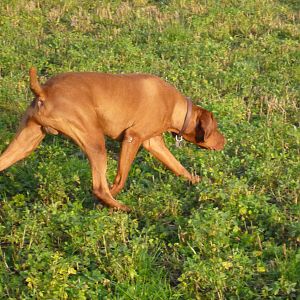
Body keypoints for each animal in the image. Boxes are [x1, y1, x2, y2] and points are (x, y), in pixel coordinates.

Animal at [0, 69, 225, 212]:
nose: (224, 141)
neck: (175, 107)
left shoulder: (153, 142)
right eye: (215, 128)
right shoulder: (132, 138)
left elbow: (178, 166)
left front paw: (198, 181)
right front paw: (110, 196)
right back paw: (121, 207)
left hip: (26, 142)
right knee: (99, 188)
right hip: (95, 142)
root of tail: (44, 91)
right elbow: (120, 178)